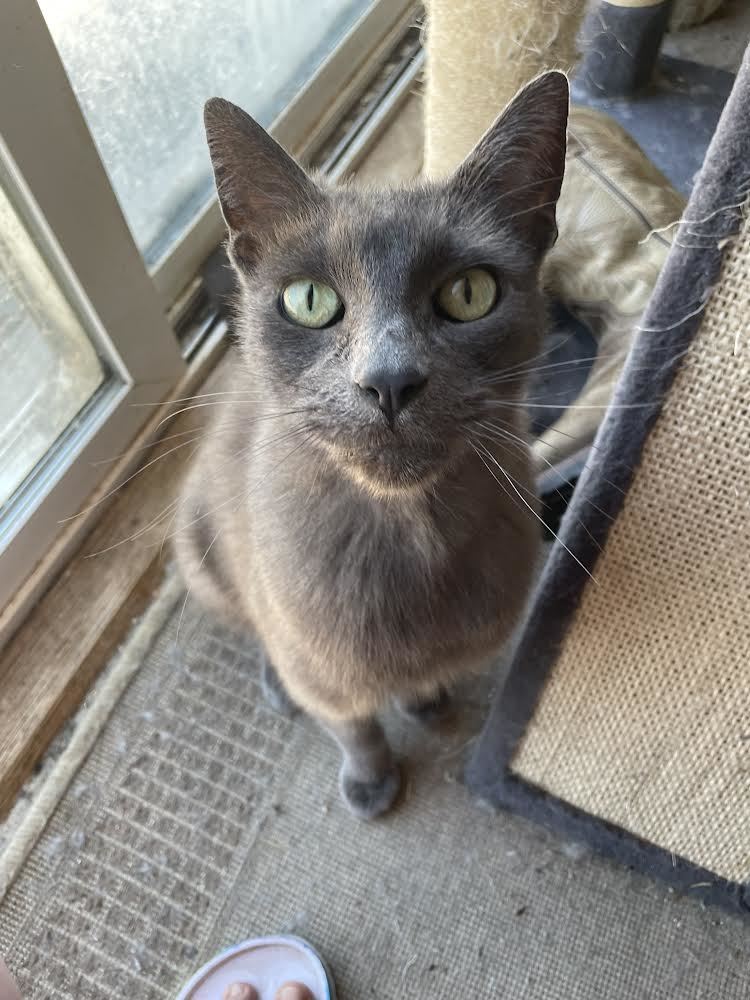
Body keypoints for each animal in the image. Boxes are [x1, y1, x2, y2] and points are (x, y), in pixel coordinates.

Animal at [176, 70, 572, 820]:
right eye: (307, 300)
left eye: (470, 293)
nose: (389, 380)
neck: (407, 537)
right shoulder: (322, 670)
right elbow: (353, 725)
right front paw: (371, 781)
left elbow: (417, 685)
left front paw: (426, 700)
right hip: (199, 556)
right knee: (254, 627)